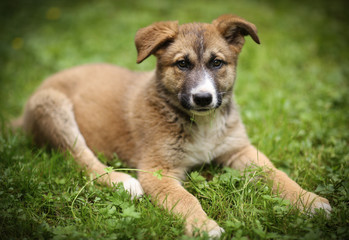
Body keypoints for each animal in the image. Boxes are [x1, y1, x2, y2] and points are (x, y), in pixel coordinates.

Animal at [17, 15, 332, 238]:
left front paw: (308, 200)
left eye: (217, 63)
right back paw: (122, 182)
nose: (203, 98)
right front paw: (203, 226)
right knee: (80, 157)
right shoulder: (158, 171)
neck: (201, 124)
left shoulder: (239, 150)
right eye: (182, 64)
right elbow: (185, 199)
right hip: (53, 107)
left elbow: (277, 174)